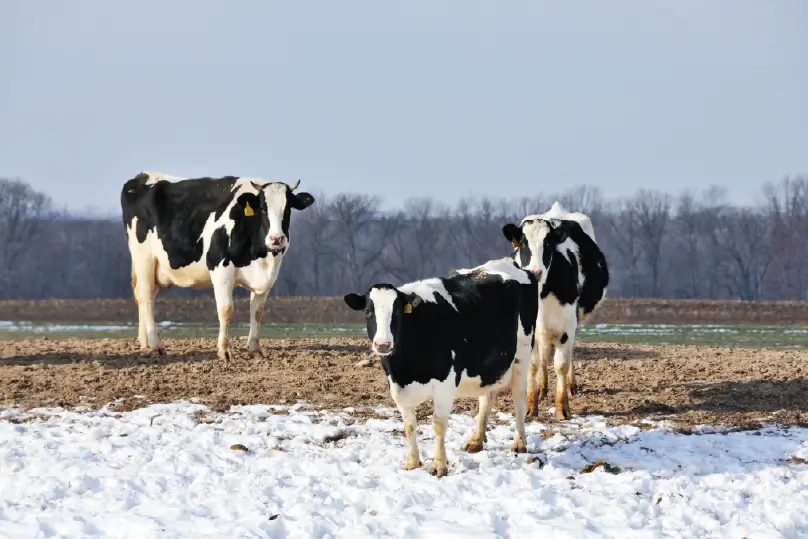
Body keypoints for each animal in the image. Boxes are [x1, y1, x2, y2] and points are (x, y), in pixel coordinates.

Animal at [121, 171, 314, 360]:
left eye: (288, 209)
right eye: (263, 208)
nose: (277, 239)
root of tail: (142, 176)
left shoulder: (267, 277)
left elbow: (257, 312)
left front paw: (255, 350)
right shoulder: (221, 269)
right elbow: (226, 309)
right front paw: (224, 351)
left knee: (143, 296)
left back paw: (144, 344)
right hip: (144, 258)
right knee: (147, 298)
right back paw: (155, 346)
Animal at [340, 258, 536, 476]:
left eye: (398, 311)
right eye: (368, 312)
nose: (383, 344)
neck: (405, 368)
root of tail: (506, 262)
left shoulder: (445, 383)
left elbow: (439, 424)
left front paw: (439, 466)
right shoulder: (397, 386)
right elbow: (409, 426)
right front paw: (412, 463)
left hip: (522, 355)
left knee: (518, 397)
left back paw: (519, 443)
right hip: (488, 366)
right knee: (487, 397)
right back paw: (476, 441)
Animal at [502, 202, 608, 422]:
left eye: (548, 244)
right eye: (522, 244)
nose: (535, 272)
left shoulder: (567, 325)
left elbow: (561, 364)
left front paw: (563, 408)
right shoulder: (529, 329)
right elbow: (533, 365)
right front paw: (531, 406)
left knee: (568, 354)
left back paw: (570, 385)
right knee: (543, 355)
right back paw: (542, 387)